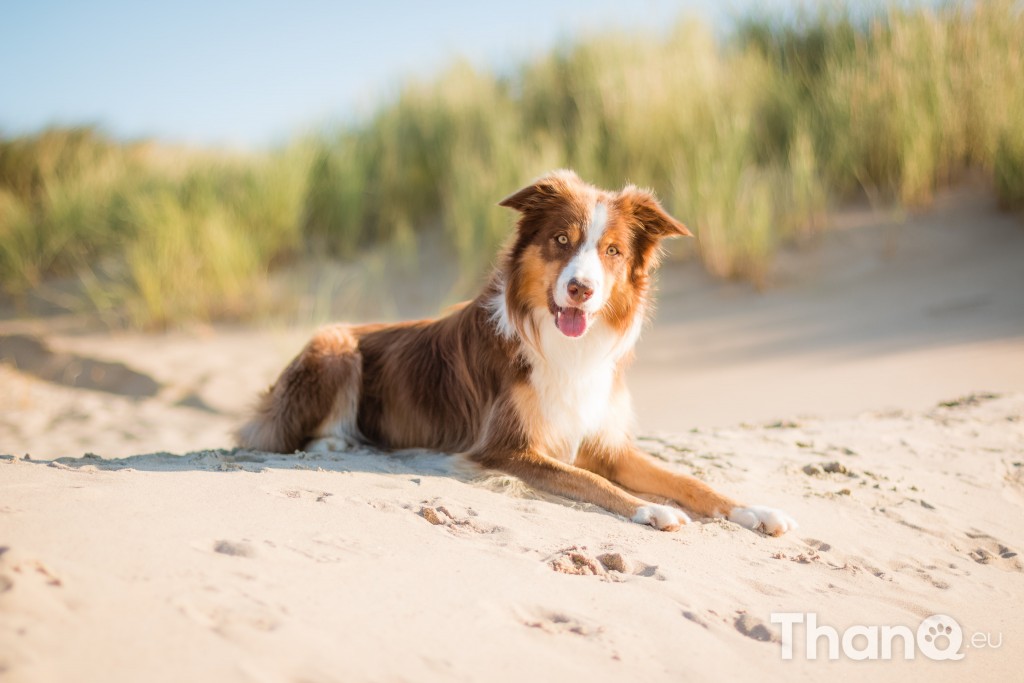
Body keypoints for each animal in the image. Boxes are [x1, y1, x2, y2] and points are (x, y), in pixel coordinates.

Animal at [235, 169, 794, 532]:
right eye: (562, 240)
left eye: (612, 251)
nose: (581, 289)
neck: (563, 346)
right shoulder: (505, 447)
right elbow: (590, 482)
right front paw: (652, 509)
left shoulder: (602, 440)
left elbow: (687, 480)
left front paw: (752, 510)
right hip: (334, 345)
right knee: (276, 435)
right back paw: (335, 443)